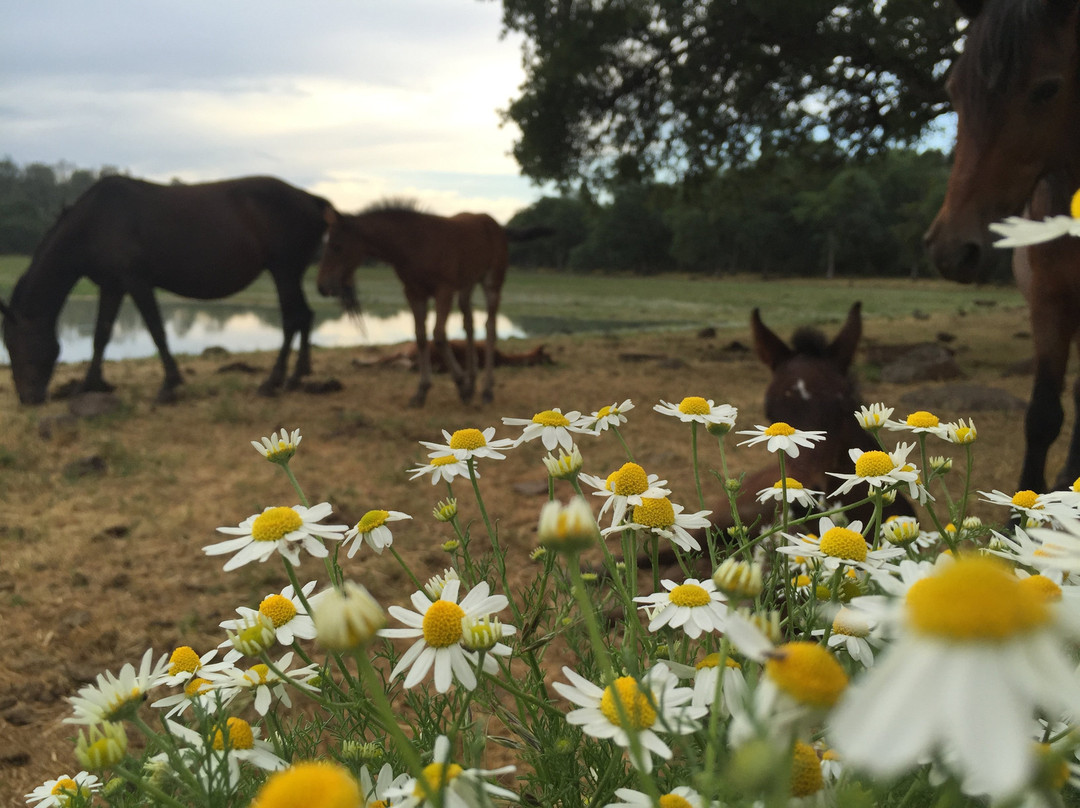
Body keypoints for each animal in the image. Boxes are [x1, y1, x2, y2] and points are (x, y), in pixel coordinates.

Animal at [313, 199, 548, 406]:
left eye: (336, 246)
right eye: (324, 245)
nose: (322, 287)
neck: (415, 244)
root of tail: (498, 225)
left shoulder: (443, 291)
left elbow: (439, 336)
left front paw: (461, 386)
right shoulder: (414, 293)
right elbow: (420, 336)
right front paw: (422, 391)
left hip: (492, 281)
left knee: (490, 328)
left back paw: (486, 390)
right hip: (466, 285)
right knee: (470, 325)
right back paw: (473, 382)